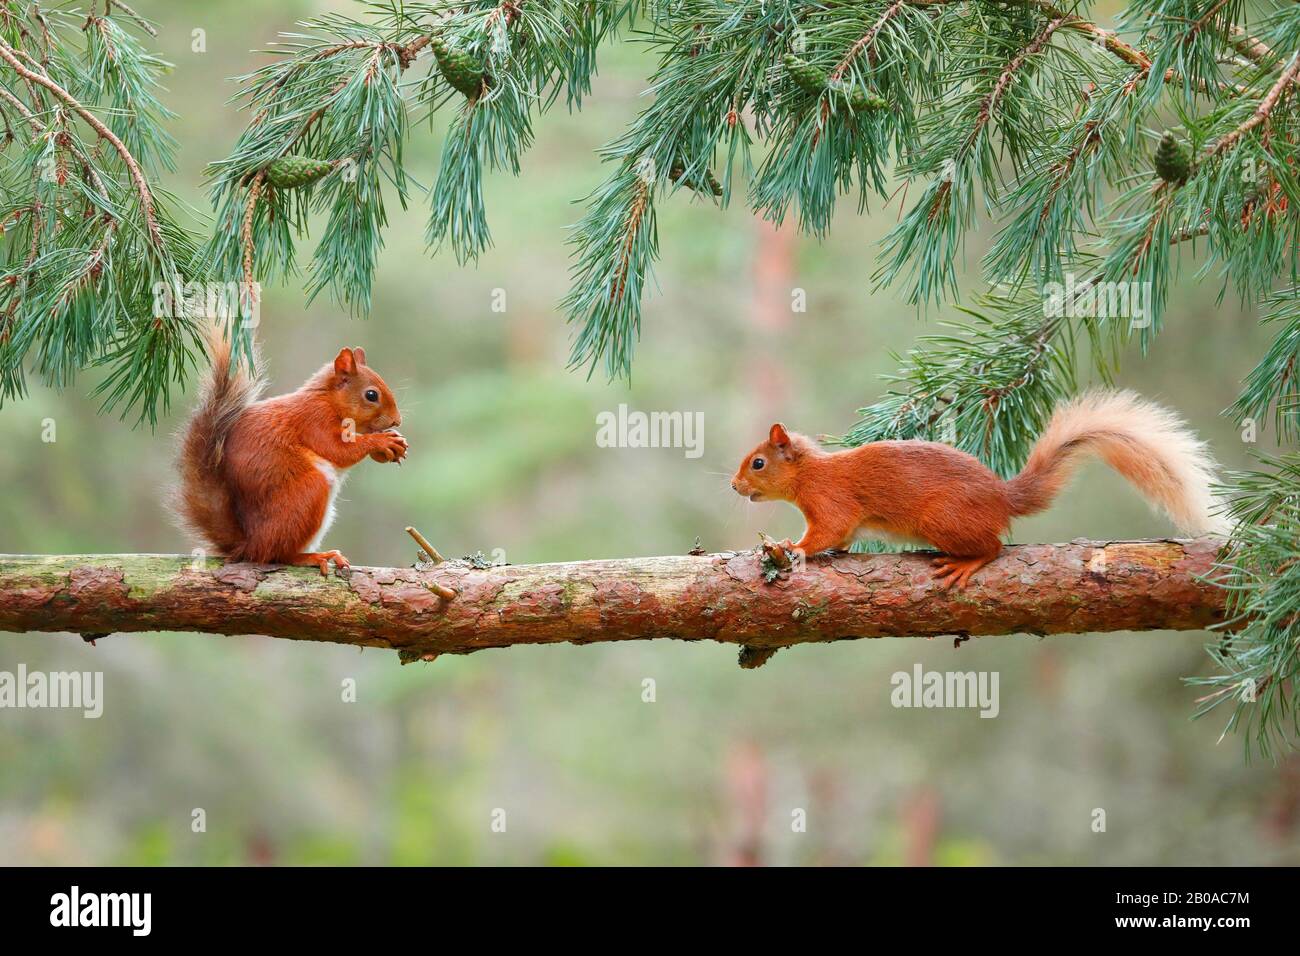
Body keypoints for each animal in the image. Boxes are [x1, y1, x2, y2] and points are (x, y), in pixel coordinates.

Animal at [174, 325, 405, 574]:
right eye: (371, 395)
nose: (397, 420)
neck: (328, 399)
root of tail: (249, 544)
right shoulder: (314, 421)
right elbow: (337, 450)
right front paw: (381, 441)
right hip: (307, 493)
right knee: (277, 555)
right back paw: (314, 557)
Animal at [733, 390, 1227, 587]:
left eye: (758, 462)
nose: (736, 486)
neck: (810, 473)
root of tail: (1001, 498)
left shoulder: (831, 500)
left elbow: (827, 532)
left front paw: (792, 547)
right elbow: (843, 540)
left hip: (943, 519)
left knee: (994, 547)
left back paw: (965, 564)